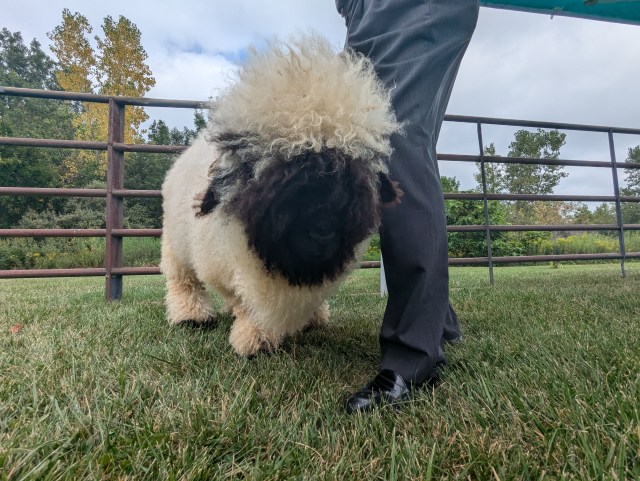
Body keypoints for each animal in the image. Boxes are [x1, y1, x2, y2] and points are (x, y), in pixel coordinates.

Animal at [160, 33, 400, 354]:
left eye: (351, 164)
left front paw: (310, 319)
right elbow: (248, 303)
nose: (322, 226)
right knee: (182, 279)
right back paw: (191, 315)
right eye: (270, 162)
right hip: (176, 244)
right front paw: (256, 339)